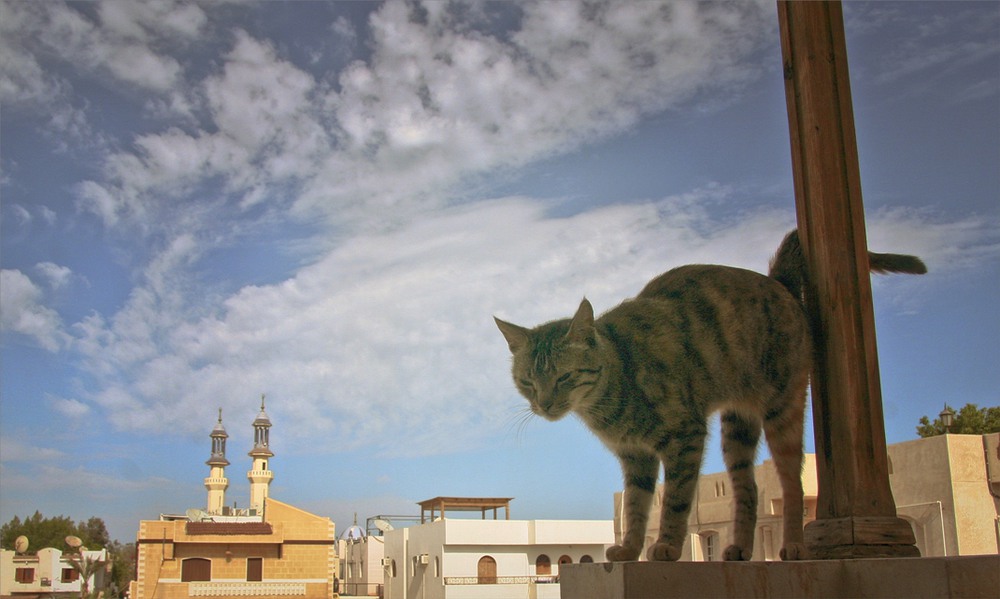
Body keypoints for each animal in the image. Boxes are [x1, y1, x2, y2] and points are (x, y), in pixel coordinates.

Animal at [496, 230, 924, 564]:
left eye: (564, 377)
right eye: (528, 382)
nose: (543, 405)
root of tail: (780, 283)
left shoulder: (684, 437)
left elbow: (674, 500)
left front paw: (667, 546)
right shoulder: (636, 458)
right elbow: (635, 507)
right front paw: (631, 549)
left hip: (783, 413)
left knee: (792, 486)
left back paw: (795, 546)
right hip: (737, 431)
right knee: (748, 489)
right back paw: (740, 548)